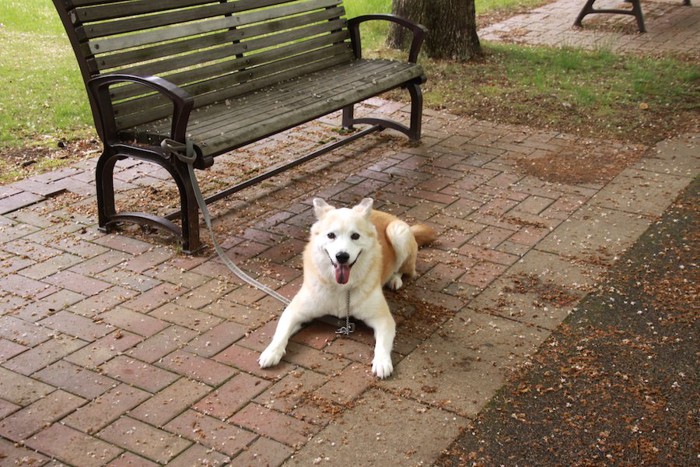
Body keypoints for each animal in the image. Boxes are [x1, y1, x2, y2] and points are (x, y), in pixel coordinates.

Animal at [258, 198, 434, 380]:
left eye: (355, 236)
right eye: (331, 235)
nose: (342, 256)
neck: (341, 288)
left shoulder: (383, 319)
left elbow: (382, 345)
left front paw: (382, 362)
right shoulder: (295, 312)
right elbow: (280, 333)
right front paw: (271, 352)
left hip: (397, 232)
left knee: (403, 269)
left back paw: (394, 279)